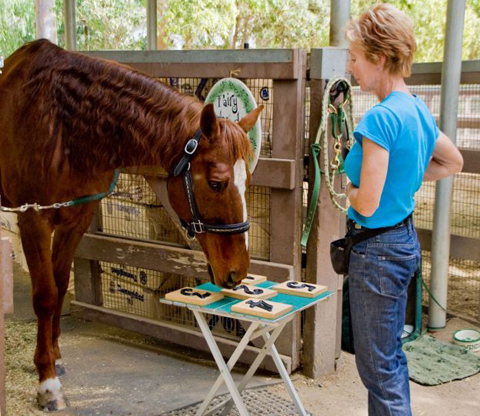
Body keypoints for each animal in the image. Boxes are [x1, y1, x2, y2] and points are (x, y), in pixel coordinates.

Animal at [0, 40, 262, 412]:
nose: (237, 271)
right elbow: (46, 296)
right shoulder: (33, 218)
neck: (62, 125)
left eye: (248, 181)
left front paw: (54, 355)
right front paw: (47, 381)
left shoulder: (76, 217)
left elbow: (60, 283)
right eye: (216, 183)